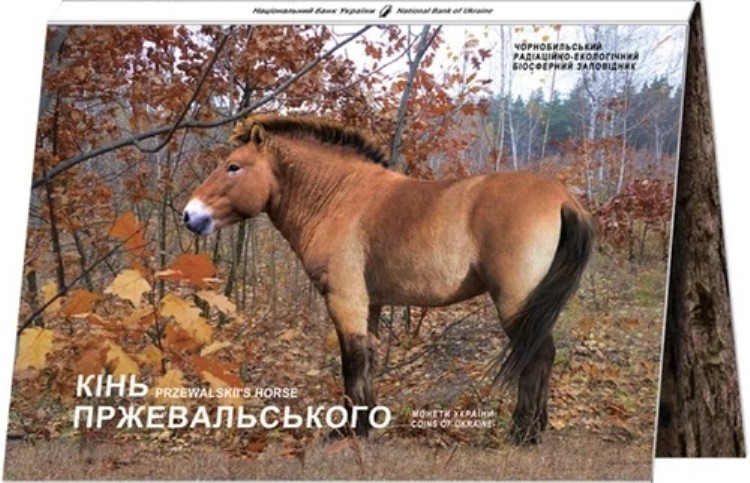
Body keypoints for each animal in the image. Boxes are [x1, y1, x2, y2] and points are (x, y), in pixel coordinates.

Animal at [183, 114, 594, 445]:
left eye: (234, 167)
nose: (190, 215)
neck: (340, 198)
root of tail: (563, 198)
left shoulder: (345, 299)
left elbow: (351, 361)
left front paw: (349, 432)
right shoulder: (371, 304)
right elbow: (368, 358)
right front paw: (365, 425)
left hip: (516, 302)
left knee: (536, 354)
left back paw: (523, 433)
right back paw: (534, 428)